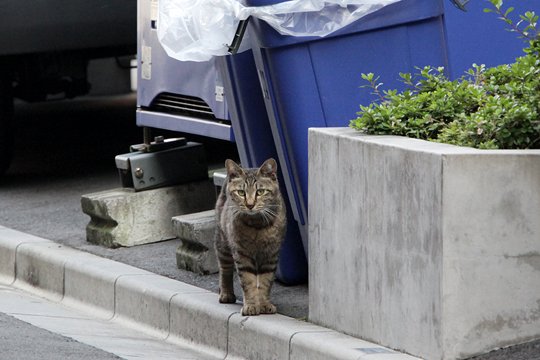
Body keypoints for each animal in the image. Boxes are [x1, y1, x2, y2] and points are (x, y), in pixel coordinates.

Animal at [214, 158, 286, 316]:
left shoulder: (270, 255)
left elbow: (265, 281)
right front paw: (251, 305)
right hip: (223, 243)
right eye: (241, 192)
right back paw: (226, 293)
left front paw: (264, 304)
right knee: (224, 269)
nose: (250, 204)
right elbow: (248, 281)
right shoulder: (242, 255)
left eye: (260, 191)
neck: (257, 226)